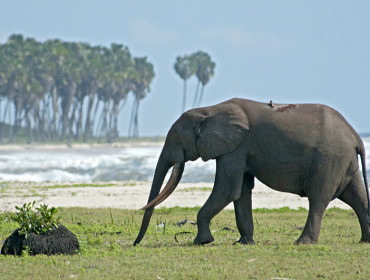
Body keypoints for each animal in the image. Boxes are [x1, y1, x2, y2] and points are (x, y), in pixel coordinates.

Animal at [134, 98, 370, 245]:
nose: (135, 243)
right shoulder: (240, 150)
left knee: (318, 198)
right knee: (357, 197)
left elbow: (227, 189)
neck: (210, 110)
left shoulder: (236, 148)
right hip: (344, 160)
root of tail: (355, 136)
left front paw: (202, 242)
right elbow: (241, 191)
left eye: (175, 138)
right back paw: (365, 240)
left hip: (329, 159)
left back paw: (303, 243)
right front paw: (243, 243)